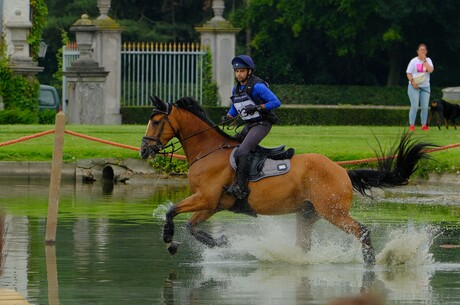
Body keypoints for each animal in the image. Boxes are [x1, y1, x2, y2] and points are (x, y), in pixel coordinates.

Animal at [139, 96, 432, 264]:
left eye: (156, 121)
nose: (144, 150)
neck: (208, 151)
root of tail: (341, 171)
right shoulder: (213, 204)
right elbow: (191, 226)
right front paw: (214, 242)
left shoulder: (205, 198)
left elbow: (171, 211)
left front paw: (171, 239)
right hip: (307, 213)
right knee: (304, 246)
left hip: (333, 212)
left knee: (363, 232)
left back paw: (372, 264)